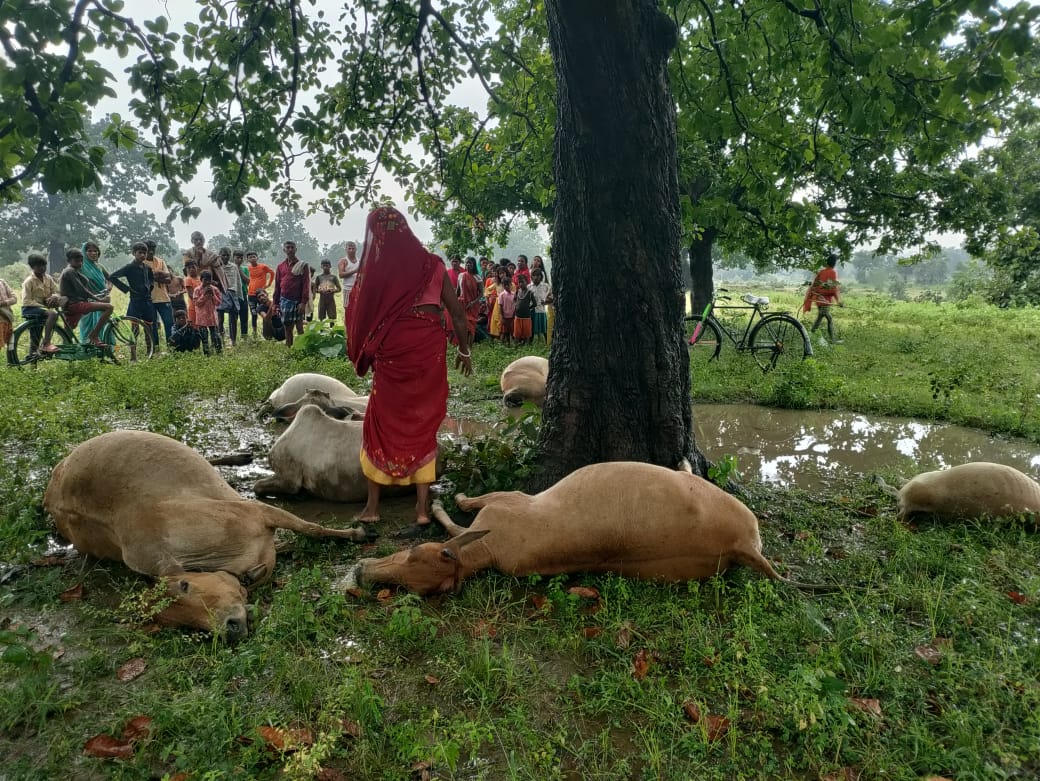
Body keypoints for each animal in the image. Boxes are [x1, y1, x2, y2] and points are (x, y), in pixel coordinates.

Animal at [44, 430, 369, 639]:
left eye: (185, 586)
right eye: (179, 623)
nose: (231, 629)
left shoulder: (258, 512)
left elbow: (313, 528)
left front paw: (358, 532)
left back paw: (239, 456)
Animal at [341, 461, 816, 596]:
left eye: (414, 555)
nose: (362, 572)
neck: (487, 552)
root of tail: (742, 545)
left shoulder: (507, 501)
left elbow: (462, 510)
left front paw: (448, 498)